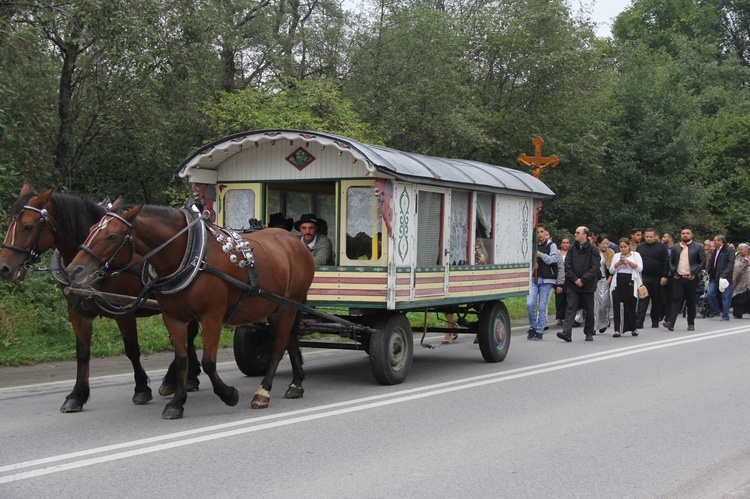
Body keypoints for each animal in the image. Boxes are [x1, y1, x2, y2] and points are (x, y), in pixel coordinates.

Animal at [0, 186, 203, 412]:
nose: (4, 267)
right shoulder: (77, 311)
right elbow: (82, 353)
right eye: (8, 224)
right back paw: (187, 378)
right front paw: (76, 395)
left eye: (28, 226)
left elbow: (132, 350)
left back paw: (174, 379)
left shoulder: (124, 311)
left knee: (188, 335)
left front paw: (141, 389)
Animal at [66, 205, 316, 420]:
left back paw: (263, 392)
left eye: (112, 236)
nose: (73, 270)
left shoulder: (212, 317)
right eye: (91, 229)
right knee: (289, 340)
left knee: (279, 345)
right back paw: (296, 384)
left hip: (289, 305)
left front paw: (228, 394)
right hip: (276, 308)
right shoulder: (173, 317)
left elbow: (209, 362)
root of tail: (295, 242)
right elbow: (181, 359)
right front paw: (177, 402)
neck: (191, 256)